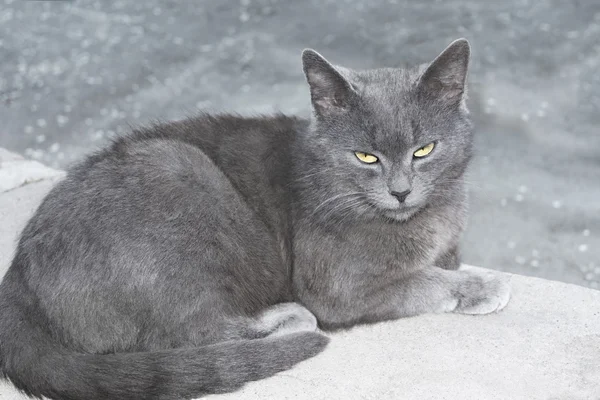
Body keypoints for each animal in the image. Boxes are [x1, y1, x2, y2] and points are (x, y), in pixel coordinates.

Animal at [0, 39, 508, 400]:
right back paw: (287, 318)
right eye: (366, 156)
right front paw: (483, 286)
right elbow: (420, 281)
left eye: (425, 150)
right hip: (178, 171)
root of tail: (18, 275)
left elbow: (442, 263)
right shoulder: (337, 285)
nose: (400, 191)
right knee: (186, 334)